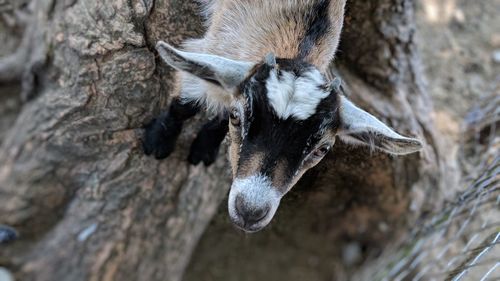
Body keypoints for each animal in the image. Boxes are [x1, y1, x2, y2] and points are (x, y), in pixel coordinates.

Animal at [145, 0, 422, 232]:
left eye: (322, 150)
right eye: (237, 117)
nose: (250, 212)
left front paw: (204, 148)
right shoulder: (218, 42)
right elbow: (186, 104)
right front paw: (158, 141)